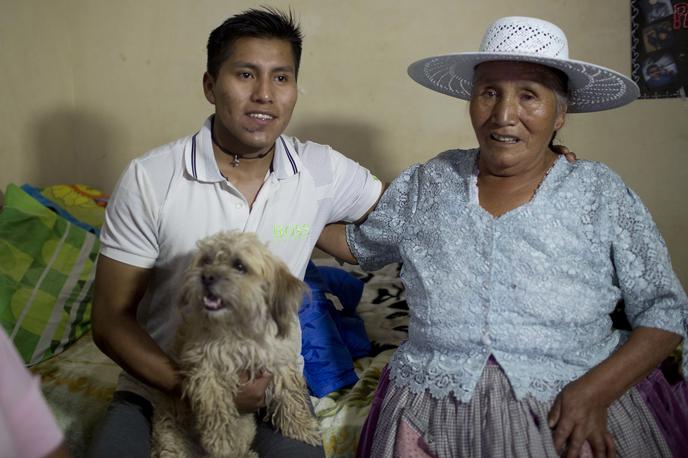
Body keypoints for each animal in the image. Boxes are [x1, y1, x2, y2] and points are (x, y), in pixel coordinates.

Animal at [152, 233, 322, 458]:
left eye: (239, 266)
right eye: (206, 260)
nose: (206, 276)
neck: (240, 328)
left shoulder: (278, 363)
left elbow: (290, 397)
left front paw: (303, 428)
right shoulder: (206, 369)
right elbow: (215, 407)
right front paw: (220, 440)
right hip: (172, 439)